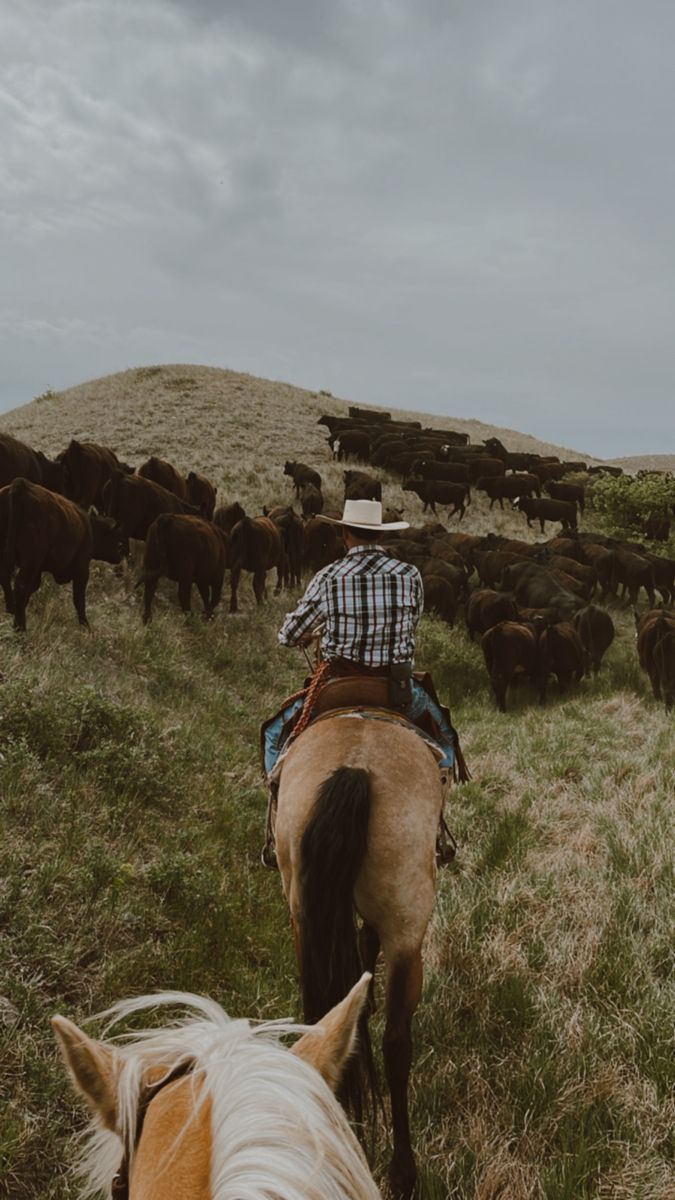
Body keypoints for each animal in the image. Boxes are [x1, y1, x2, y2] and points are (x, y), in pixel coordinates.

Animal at [1, 477, 126, 633]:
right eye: (118, 539)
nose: (120, 556)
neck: (89, 527)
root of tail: (22, 485)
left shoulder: (38, 570)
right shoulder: (82, 571)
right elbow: (79, 600)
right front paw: (86, 627)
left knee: (6, 579)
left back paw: (12, 612)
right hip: (30, 561)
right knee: (20, 586)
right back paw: (21, 627)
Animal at [270, 705, 444, 1195]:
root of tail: (356, 768)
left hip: (303, 913)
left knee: (321, 1019)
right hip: (407, 930)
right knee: (397, 1044)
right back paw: (403, 1171)